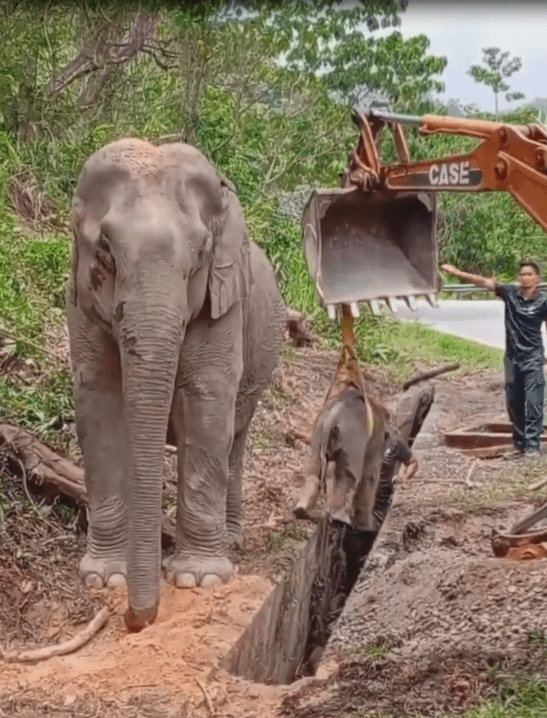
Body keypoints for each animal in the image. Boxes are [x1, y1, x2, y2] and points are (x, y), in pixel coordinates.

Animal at [67, 138, 286, 632]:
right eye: (104, 249)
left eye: (201, 253)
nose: (137, 620)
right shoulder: (81, 303)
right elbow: (98, 403)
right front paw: (105, 578)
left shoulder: (223, 303)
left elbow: (207, 403)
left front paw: (197, 579)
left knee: (235, 438)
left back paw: (232, 541)